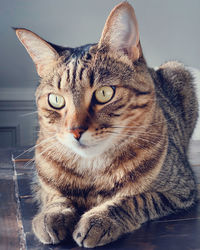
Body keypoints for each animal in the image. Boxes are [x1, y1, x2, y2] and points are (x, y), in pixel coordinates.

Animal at [14, 1, 198, 248]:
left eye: (104, 93)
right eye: (56, 100)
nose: (75, 130)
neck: (93, 170)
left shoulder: (179, 189)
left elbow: (135, 199)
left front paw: (99, 220)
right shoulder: (40, 183)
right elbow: (54, 196)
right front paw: (52, 215)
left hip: (178, 70)